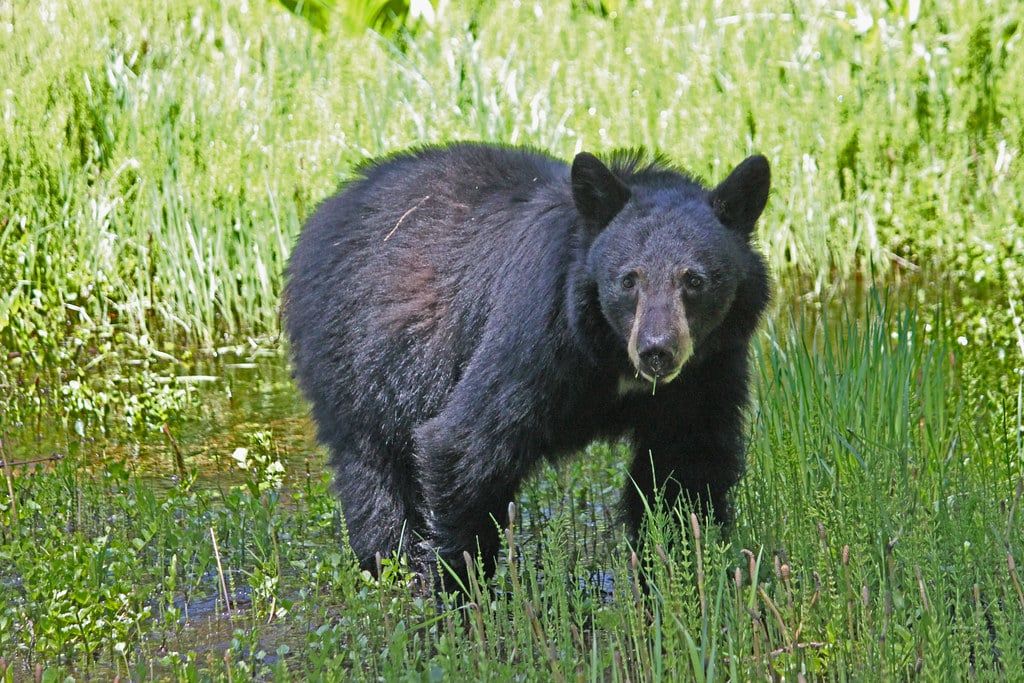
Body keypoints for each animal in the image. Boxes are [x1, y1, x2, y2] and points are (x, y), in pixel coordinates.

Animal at [283, 142, 770, 591]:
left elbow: (686, 467)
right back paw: (390, 568)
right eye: (628, 280)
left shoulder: (708, 370)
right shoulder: (537, 330)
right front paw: (460, 591)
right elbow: (464, 444)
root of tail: (327, 209)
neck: (610, 354)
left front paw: (679, 574)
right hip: (355, 359)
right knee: (373, 479)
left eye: (695, 280)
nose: (657, 350)